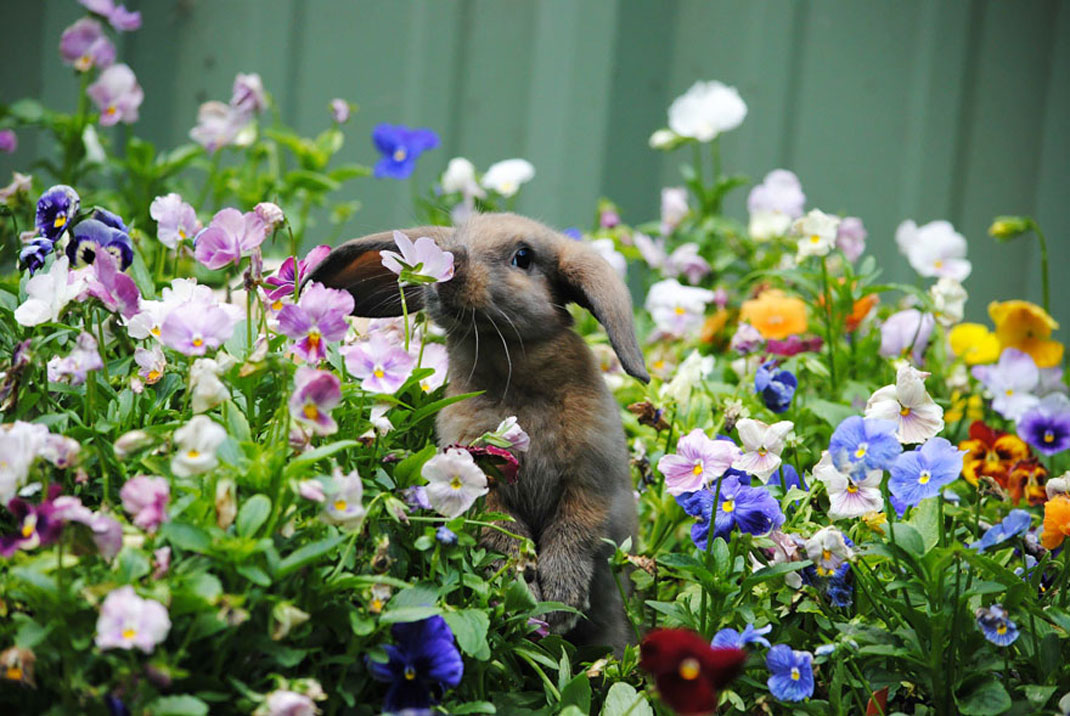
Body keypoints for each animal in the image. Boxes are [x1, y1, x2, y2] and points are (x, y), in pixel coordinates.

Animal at [307, 212, 649, 654]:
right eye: (451, 241)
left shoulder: (591, 481)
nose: (451, 264)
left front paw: (560, 602)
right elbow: (501, 530)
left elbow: (574, 533)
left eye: (523, 257)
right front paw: (525, 587)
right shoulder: (481, 481)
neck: (513, 375)